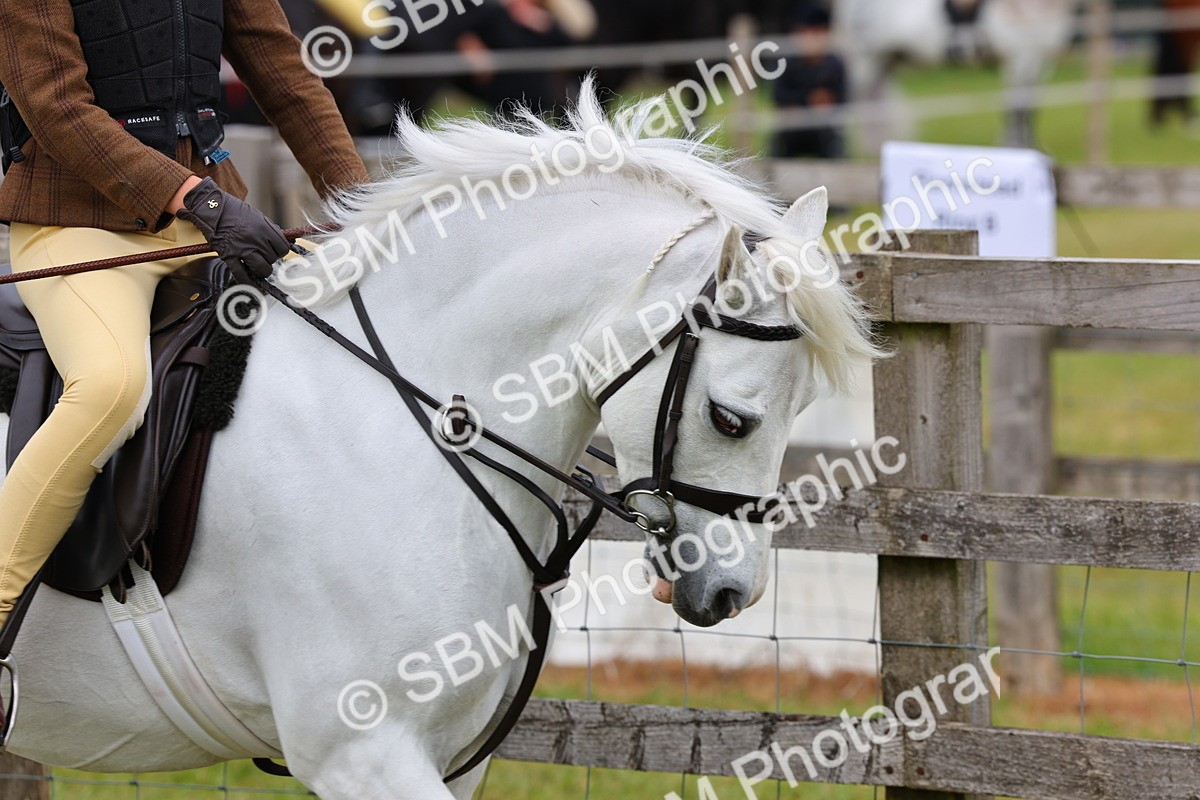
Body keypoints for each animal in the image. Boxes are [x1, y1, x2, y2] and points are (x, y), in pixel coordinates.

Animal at [832, 0, 1079, 149]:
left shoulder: (1038, 62)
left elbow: (1029, 109)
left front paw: (1030, 148)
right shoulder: (1022, 58)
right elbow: (1018, 109)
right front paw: (1014, 147)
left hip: (885, 63)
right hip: (866, 63)